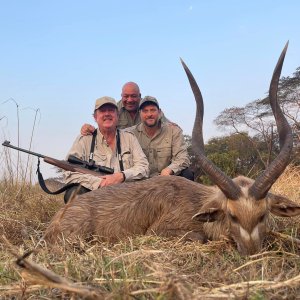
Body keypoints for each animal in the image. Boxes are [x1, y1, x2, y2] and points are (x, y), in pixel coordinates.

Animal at [45, 43, 300, 254]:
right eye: (232, 216)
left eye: (262, 215)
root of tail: (57, 219)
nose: (251, 253)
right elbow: (199, 237)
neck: (198, 200)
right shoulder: (161, 231)